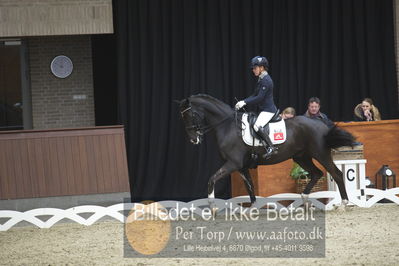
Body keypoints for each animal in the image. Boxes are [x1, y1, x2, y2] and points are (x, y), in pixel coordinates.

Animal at [178, 94, 356, 209]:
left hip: (321, 154)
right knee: (316, 173)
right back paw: (304, 199)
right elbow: (250, 186)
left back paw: (343, 204)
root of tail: (321, 124)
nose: (194, 140)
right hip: (301, 157)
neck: (228, 126)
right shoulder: (241, 167)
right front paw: (252, 209)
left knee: (336, 173)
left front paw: (212, 206)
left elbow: (211, 179)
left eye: (190, 115)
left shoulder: (232, 164)